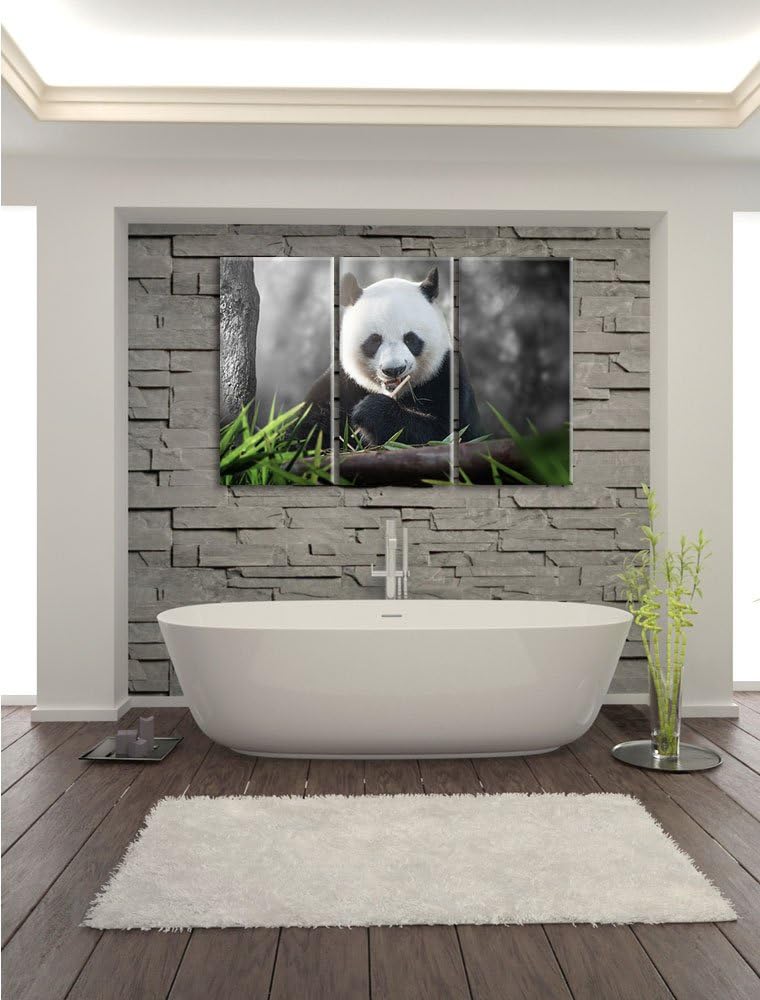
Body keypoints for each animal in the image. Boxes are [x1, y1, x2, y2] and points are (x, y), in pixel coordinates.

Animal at [305, 266, 482, 447]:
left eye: (410, 339)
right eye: (374, 340)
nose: (394, 370)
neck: (395, 393)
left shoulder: (445, 376)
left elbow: (448, 434)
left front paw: (370, 411)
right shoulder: (344, 382)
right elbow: (311, 424)